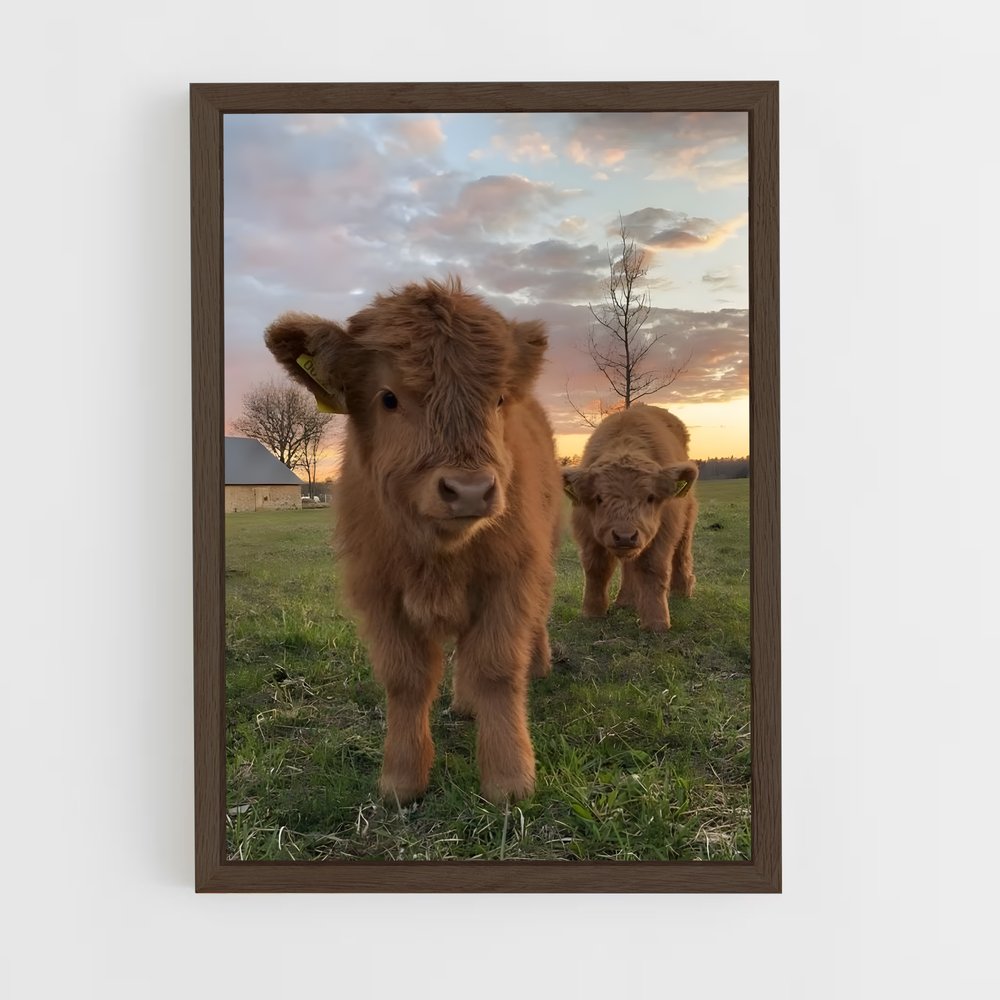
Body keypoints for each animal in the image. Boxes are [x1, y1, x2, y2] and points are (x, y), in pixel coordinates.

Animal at [264, 278, 562, 804]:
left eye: (498, 399)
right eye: (388, 398)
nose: (469, 489)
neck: (438, 554)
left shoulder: (509, 577)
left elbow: (498, 669)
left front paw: (509, 779)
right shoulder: (379, 592)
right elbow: (406, 680)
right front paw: (401, 780)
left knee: (534, 623)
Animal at [562, 405, 699, 632]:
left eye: (650, 497)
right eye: (599, 498)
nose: (625, 536)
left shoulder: (662, 532)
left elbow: (652, 568)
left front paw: (656, 622)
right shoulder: (587, 532)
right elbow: (596, 568)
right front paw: (592, 612)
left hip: (686, 518)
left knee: (681, 550)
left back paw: (682, 590)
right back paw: (626, 600)